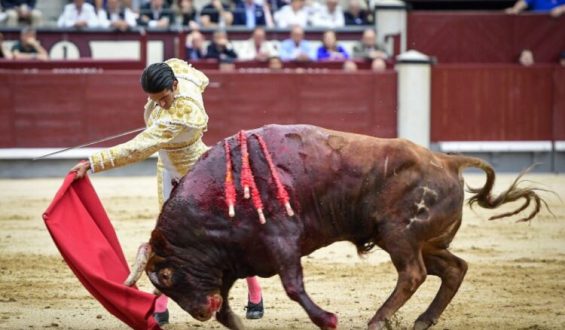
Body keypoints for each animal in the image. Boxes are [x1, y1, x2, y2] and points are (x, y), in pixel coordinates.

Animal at [126, 124, 540, 330]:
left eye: (166, 275)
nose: (199, 312)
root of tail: (447, 160)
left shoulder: (281, 241)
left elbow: (293, 287)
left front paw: (328, 319)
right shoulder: (230, 262)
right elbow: (227, 311)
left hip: (399, 235)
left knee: (413, 274)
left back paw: (377, 321)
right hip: (422, 241)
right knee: (454, 268)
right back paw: (422, 320)